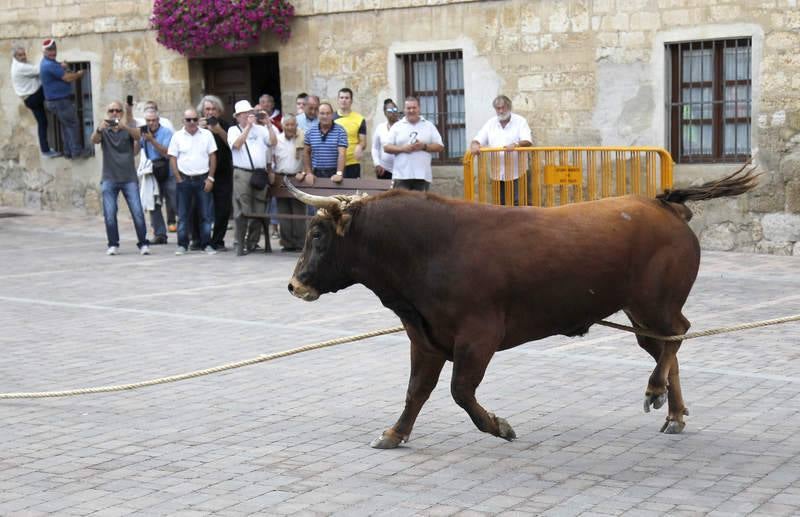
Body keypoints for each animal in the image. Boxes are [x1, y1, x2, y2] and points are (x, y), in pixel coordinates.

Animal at [286, 168, 756, 448]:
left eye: (318, 235)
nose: (294, 285)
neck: (431, 247)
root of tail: (660, 203)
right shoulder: (425, 338)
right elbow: (416, 390)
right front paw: (395, 433)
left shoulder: (478, 336)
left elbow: (460, 391)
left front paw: (499, 426)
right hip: (640, 314)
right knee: (664, 348)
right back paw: (673, 412)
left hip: (657, 303)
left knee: (678, 334)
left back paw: (655, 391)